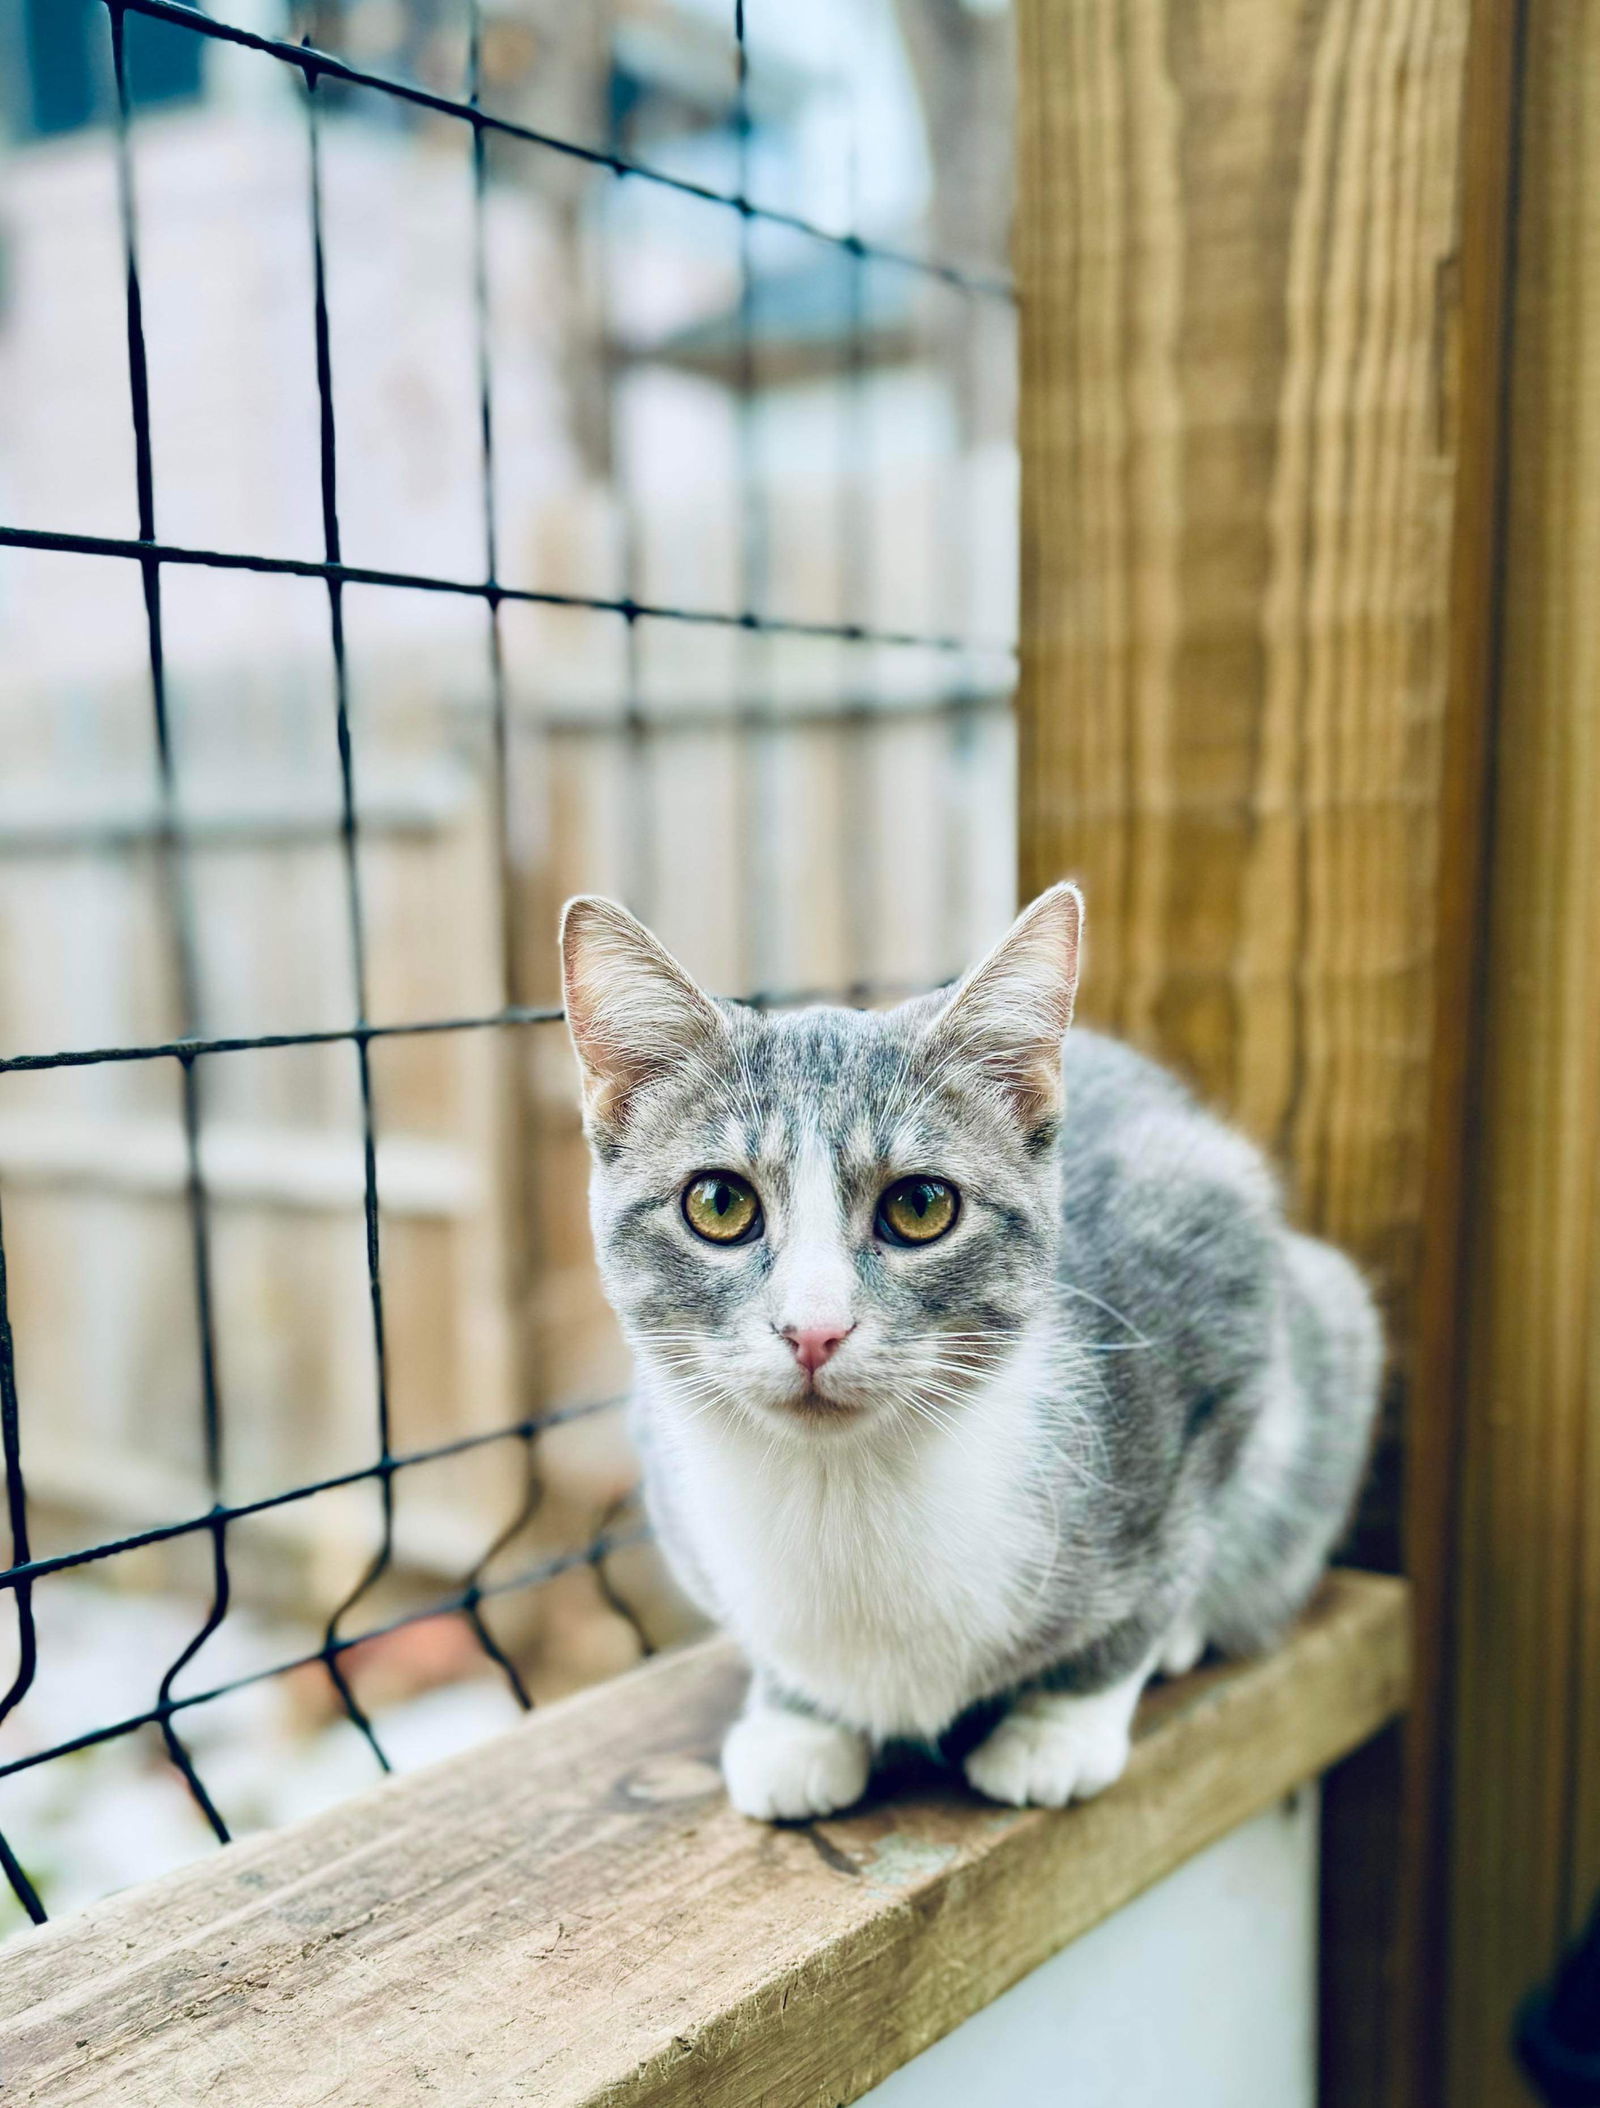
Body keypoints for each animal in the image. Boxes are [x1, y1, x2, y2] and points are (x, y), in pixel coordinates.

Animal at [556, 881, 1382, 1821]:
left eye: (920, 1206)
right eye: (719, 1203)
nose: (814, 1329)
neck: (843, 1491)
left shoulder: (1211, 1293)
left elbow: (1166, 1563)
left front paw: (1060, 1724)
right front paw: (798, 1720)